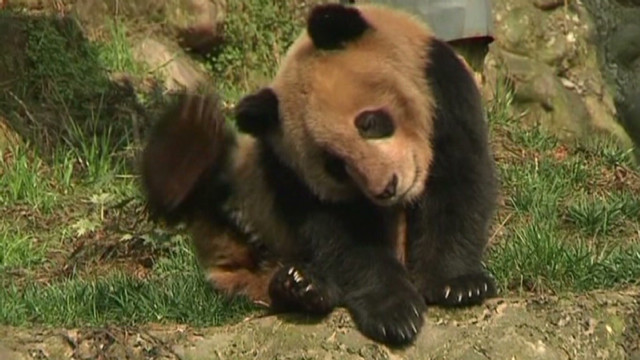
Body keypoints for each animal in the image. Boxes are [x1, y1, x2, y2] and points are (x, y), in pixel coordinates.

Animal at [141, 1, 500, 348]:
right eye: (336, 167)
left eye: (369, 122)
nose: (387, 188)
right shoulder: (288, 169)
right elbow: (343, 234)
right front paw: (395, 313)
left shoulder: (443, 92)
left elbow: (457, 186)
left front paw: (457, 285)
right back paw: (301, 286)